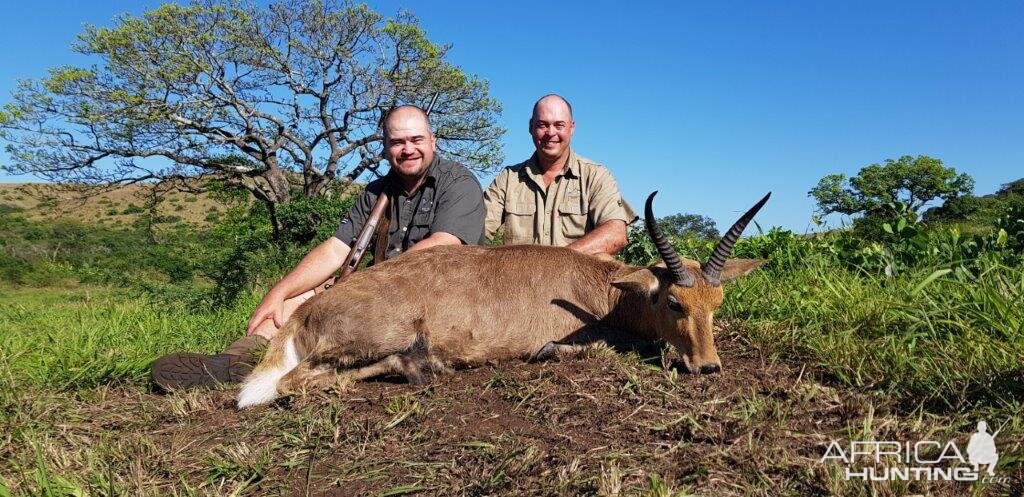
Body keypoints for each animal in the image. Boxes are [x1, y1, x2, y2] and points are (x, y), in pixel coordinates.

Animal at [239, 189, 770, 407]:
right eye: (674, 303)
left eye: (716, 304)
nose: (708, 366)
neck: (603, 289)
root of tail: (305, 311)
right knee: (291, 383)